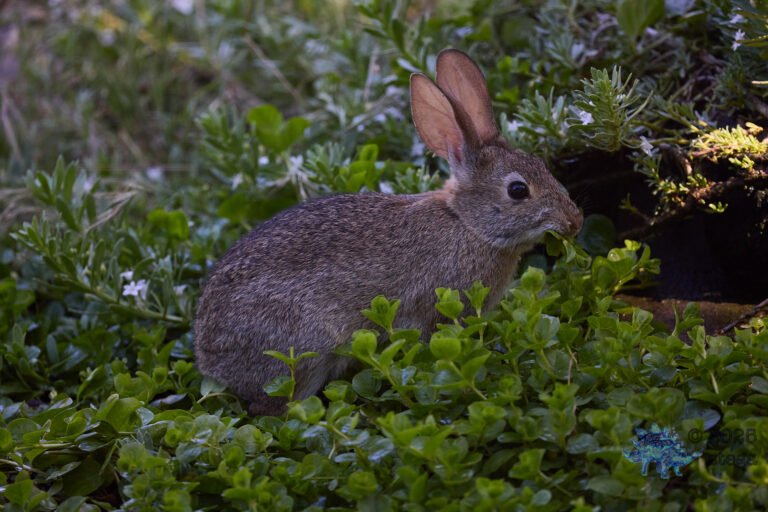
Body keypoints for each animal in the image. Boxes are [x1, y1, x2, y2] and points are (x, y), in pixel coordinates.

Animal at [194, 49, 583, 416]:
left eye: (541, 164)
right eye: (518, 190)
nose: (574, 221)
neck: (467, 223)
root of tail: (210, 359)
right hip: (306, 348)